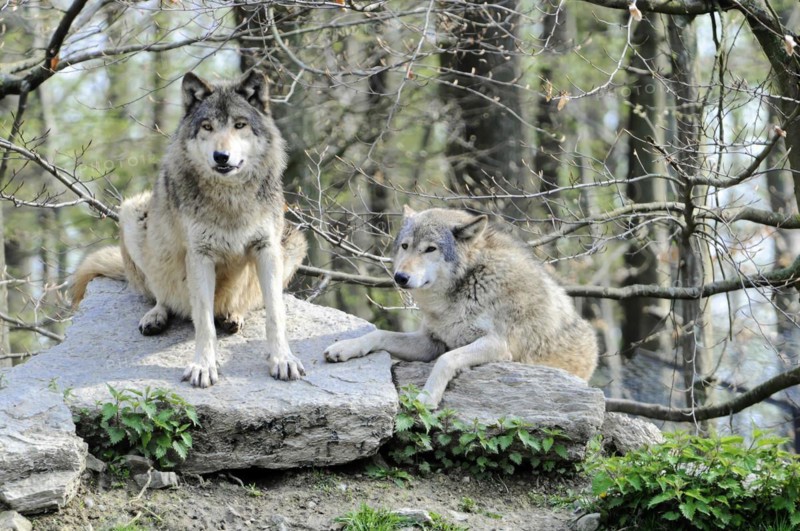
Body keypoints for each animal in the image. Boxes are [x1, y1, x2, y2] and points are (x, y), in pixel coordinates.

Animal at [72, 70, 308, 388]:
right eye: (207, 127)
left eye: (239, 125)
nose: (221, 156)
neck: (229, 200)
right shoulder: (199, 255)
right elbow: (204, 323)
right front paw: (203, 367)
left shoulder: (267, 248)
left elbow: (275, 315)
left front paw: (283, 360)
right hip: (132, 214)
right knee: (160, 293)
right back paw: (156, 316)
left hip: (293, 240)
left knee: (244, 305)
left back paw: (233, 315)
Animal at [324, 207, 598, 408]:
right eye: (405, 246)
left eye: (430, 249)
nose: (400, 277)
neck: (470, 280)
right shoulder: (431, 342)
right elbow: (378, 334)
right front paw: (344, 347)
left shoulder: (497, 345)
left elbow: (447, 359)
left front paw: (427, 397)